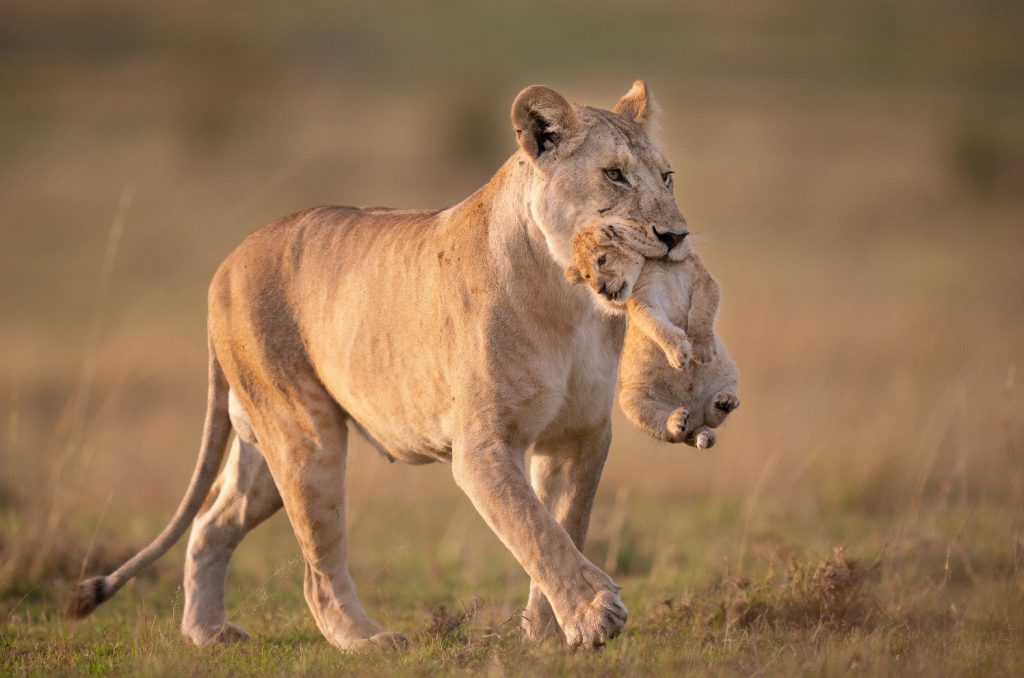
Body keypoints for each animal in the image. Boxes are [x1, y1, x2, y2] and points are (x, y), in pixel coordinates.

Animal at [65, 81, 691, 650]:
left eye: (666, 177)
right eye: (614, 175)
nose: (676, 235)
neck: (569, 298)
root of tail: (228, 261)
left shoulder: (579, 435)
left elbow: (565, 524)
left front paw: (546, 633)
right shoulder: (483, 446)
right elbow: (534, 529)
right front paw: (593, 615)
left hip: (262, 451)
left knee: (210, 523)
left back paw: (207, 633)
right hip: (306, 437)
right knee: (316, 568)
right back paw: (368, 640)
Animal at [565, 222, 740, 447]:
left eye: (602, 260)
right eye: (586, 276)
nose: (599, 290)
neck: (661, 263)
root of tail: (694, 424)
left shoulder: (703, 279)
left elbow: (703, 309)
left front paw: (702, 350)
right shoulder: (643, 300)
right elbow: (656, 325)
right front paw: (679, 353)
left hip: (729, 374)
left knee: (712, 419)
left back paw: (722, 403)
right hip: (632, 401)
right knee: (668, 430)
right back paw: (676, 421)